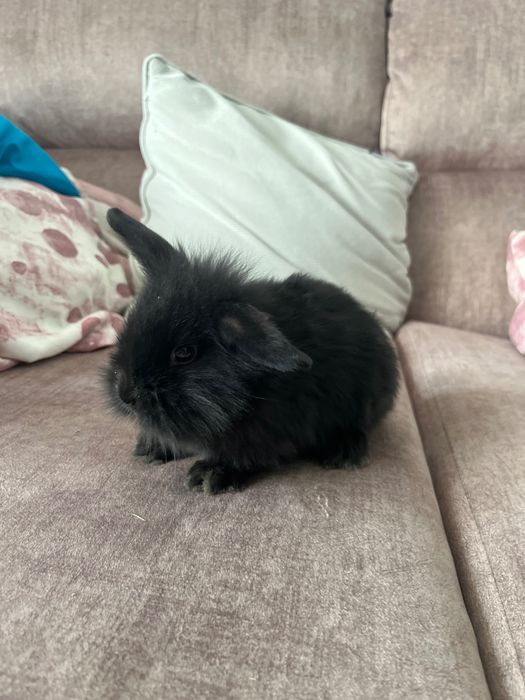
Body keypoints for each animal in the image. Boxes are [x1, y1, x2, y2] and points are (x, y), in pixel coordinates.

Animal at [105, 208, 399, 494]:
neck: (253, 387)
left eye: (184, 353)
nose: (125, 394)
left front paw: (211, 475)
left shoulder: (270, 432)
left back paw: (344, 453)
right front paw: (152, 448)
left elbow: (247, 456)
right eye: (130, 322)